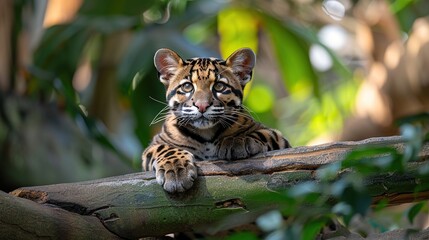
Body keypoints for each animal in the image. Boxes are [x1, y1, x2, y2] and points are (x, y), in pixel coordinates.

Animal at [142, 47, 290, 192]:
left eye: (219, 86)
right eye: (187, 87)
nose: (202, 106)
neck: (206, 133)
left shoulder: (278, 138)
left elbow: (262, 134)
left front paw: (236, 140)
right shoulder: (155, 143)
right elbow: (165, 149)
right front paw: (176, 169)